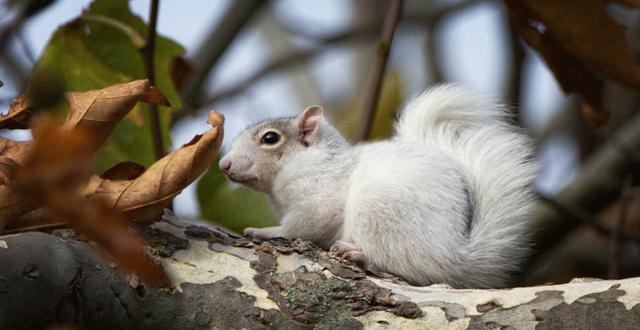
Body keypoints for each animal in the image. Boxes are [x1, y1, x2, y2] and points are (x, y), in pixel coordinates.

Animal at [219, 85, 536, 288]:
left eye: (270, 138)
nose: (224, 165)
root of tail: (455, 256)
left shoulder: (320, 201)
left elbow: (300, 227)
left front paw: (267, 231)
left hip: (381, 213)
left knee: (410, 266)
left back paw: (357, 254)